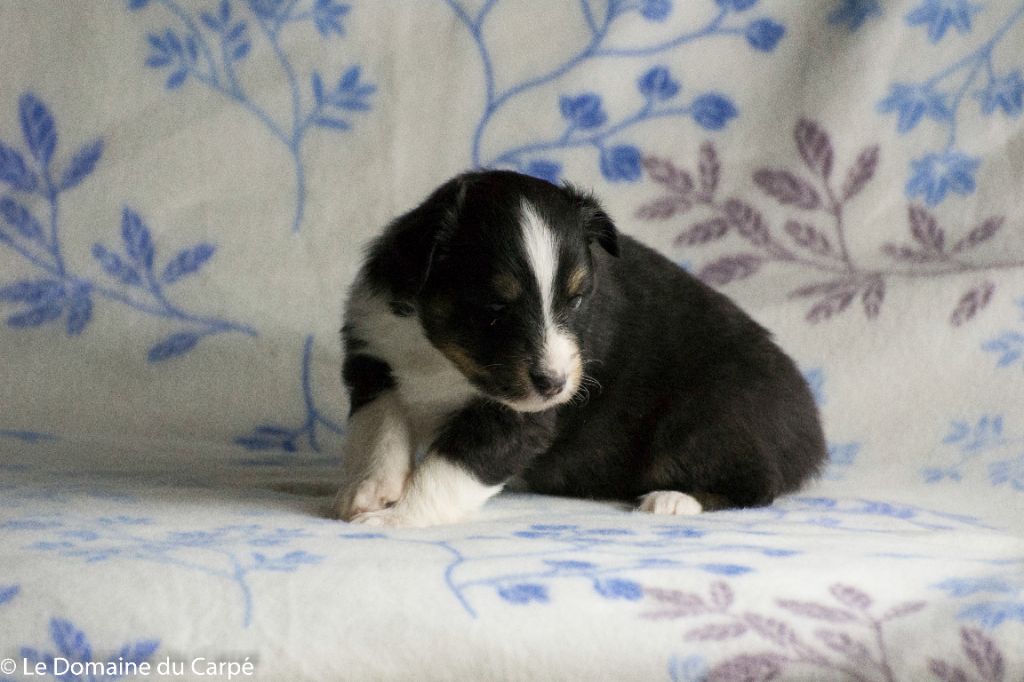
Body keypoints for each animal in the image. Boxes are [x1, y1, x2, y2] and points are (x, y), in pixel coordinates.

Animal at [333, 169, 823, 524]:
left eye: (576, 299)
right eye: (494, 307)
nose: (554, 384)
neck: (438, 356)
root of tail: (811, 432)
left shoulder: (517, 419)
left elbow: (447, 473)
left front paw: (393, 521)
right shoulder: (373, 359)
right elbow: (378, 431)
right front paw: (369, 490)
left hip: (704, 419)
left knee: (758, 483)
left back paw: (672, 499)